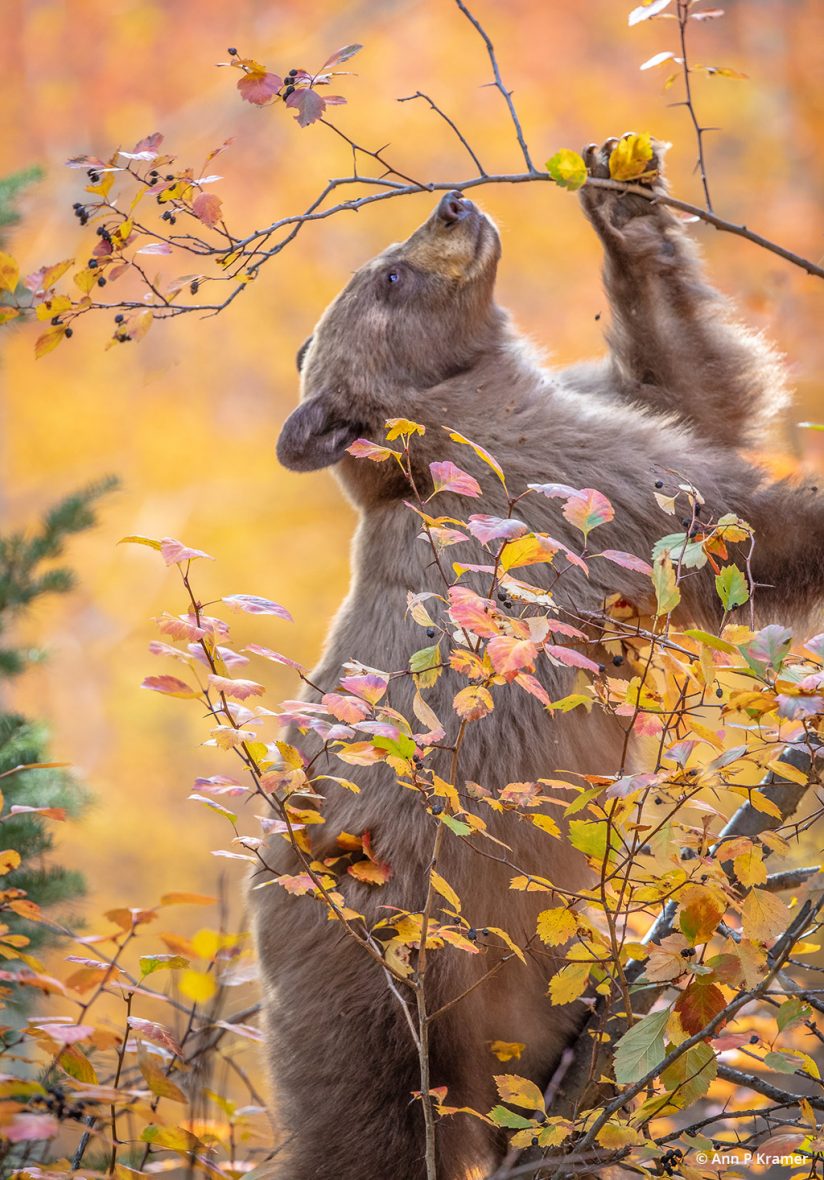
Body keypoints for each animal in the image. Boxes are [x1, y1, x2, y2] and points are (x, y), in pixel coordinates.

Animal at [251, 140, 821, 1180]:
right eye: (388, 277)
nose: (452, 204)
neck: (451, 410)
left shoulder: (581, 414)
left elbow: (693, 391)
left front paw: (623, 204)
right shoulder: (559, 484)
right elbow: (729, 517)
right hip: (382, 964)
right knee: (369, 1123)